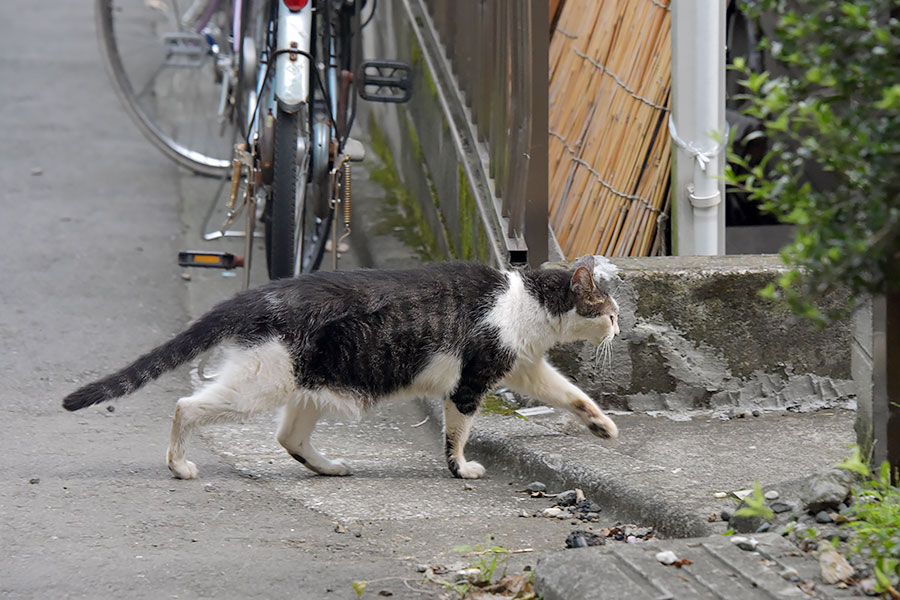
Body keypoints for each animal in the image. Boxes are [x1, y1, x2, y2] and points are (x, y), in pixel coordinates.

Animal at [63, 255, 620, 480]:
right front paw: (460, 468)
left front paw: (602, 425)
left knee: (288, 438)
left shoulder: (523, 368)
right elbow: (457, 434)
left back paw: (329, 467)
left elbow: (569, 392)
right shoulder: (470, 383)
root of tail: (256, 295)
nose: (619, 327)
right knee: (186, 406)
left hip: (308, 385)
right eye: (610, 311)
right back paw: (179, 466)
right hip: (263, 382)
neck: (526, 301)